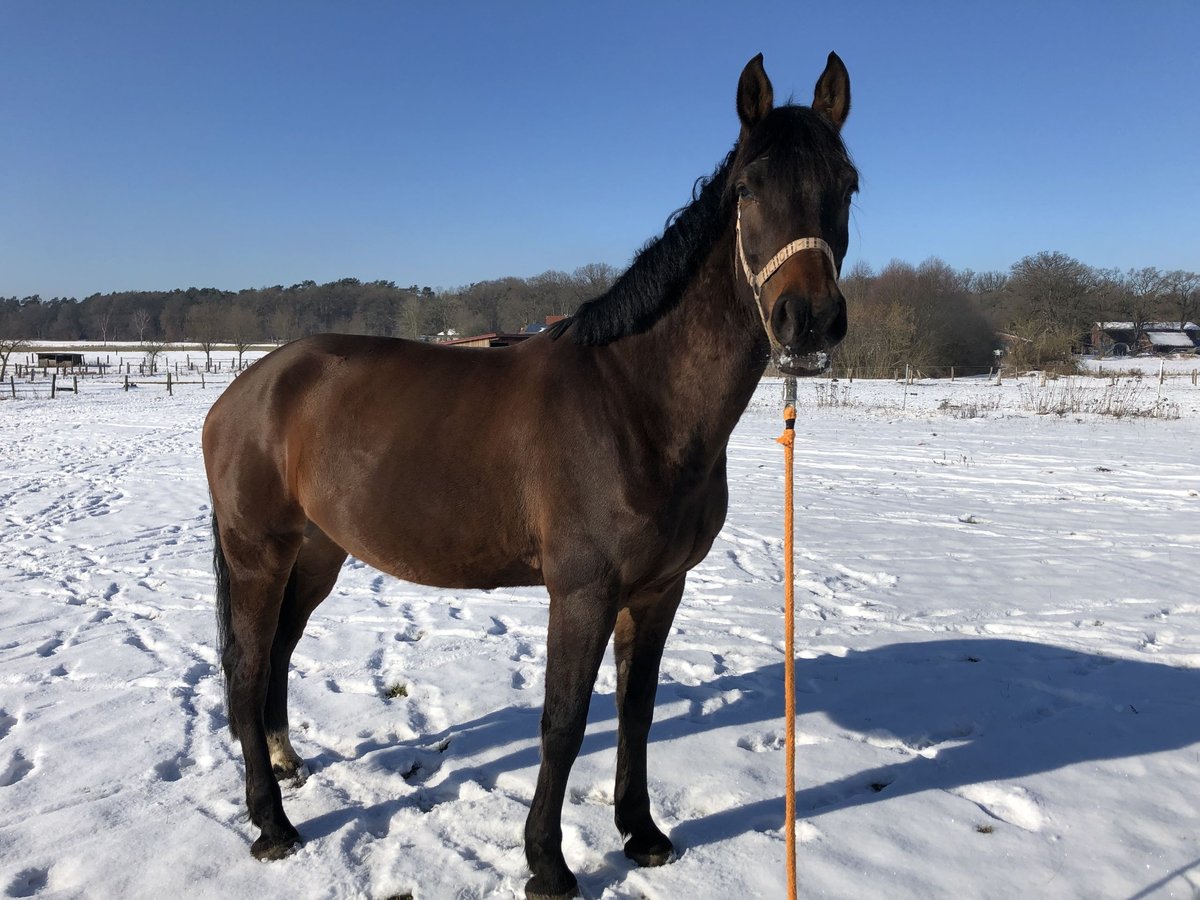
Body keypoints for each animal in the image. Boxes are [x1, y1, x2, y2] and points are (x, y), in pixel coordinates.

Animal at [206, 51, 859, 900]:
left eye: (847, 183)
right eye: (748, 189)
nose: (806, 321)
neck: (634, 400)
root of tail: (248, 387)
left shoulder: (658, 590)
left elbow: (637, 711)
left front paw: (642, 834)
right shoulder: (582, 592)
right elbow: (563, 722)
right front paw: (547, 864)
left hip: (317, 551)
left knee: (280, 650)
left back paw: (287, 769)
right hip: (258, 553)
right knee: (247, 667)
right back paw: (272, 823)